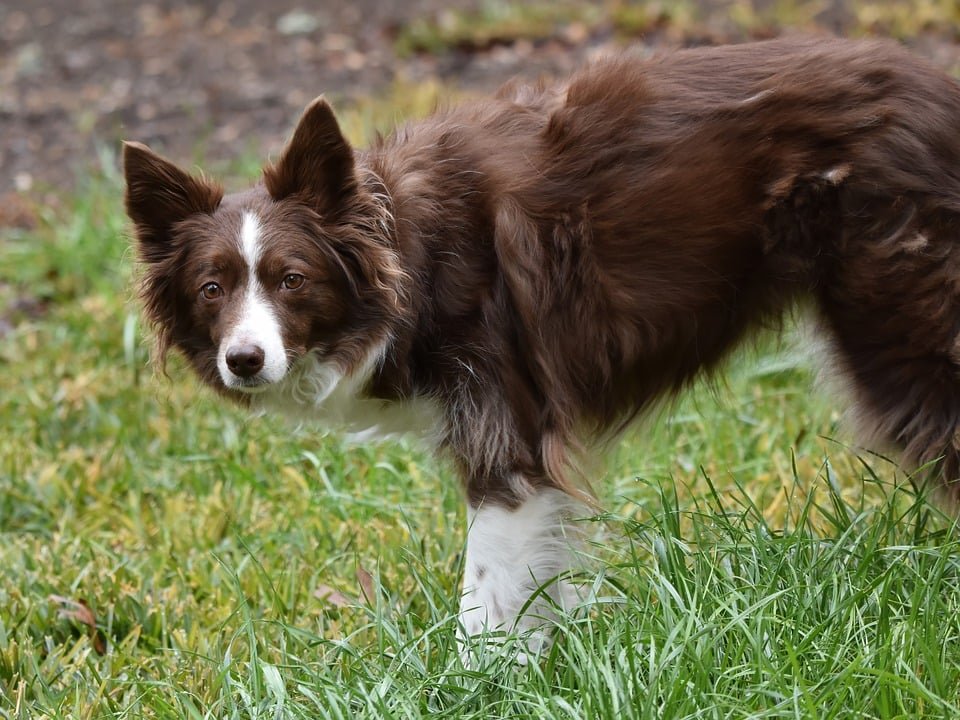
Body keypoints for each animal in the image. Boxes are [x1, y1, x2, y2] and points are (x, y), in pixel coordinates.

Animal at [125, 33, 960, 652]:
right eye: (212, 289)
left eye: (292, 279)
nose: (244, 362)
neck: (412, 254)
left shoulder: (507, 429)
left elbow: (485, 595)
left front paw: (477, 685)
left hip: (903, 335)